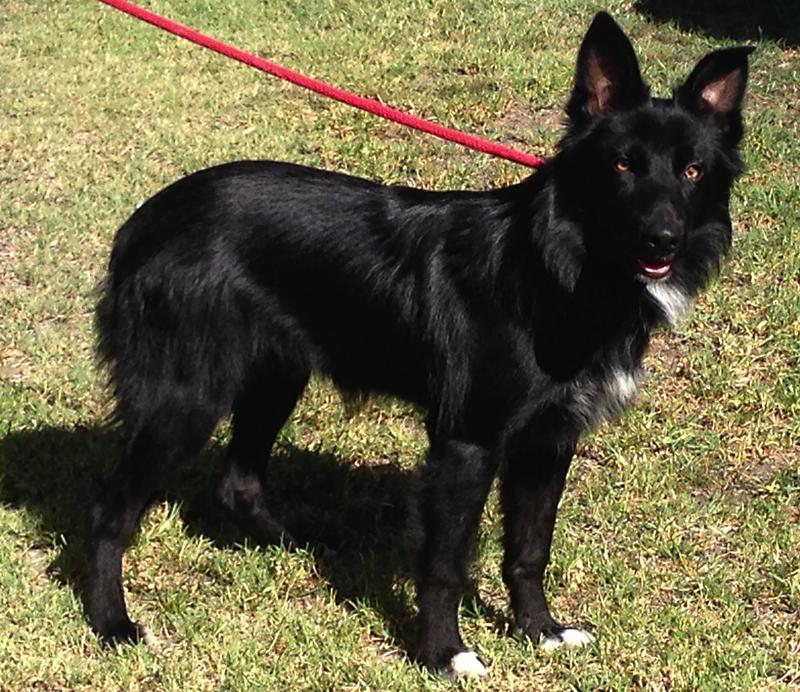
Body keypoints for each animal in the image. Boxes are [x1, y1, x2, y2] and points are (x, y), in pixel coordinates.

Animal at [89, 13, 752, 680]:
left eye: (693, 171)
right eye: (621, 166)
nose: (662, 240)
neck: (557, 267)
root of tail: (143, 222)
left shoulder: (548, 441)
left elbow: (530, 549)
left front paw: (539, 631)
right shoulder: (466, 443)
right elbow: (445, 565)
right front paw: (443, 653)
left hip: (275, 376)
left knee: (238, 482)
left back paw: (295, 548)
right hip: (186, 399)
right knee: (110, 512)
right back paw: (111, 622)